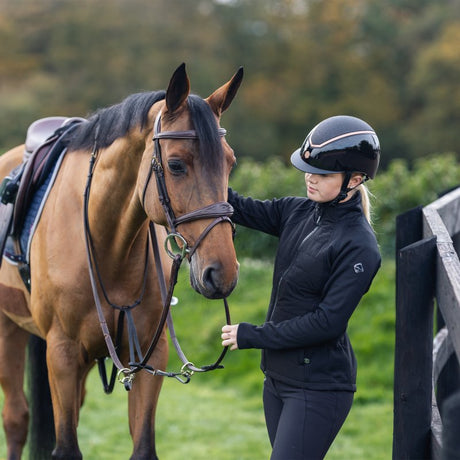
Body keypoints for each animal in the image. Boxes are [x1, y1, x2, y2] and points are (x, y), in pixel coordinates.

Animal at [0, 62, 244, 460]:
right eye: (175, 165)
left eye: (230, 162)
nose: (221, 272)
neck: (109, 244)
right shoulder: (62, 353)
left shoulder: (149, 355)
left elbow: (142, 446)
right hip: (9, 330)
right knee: (16, 419)